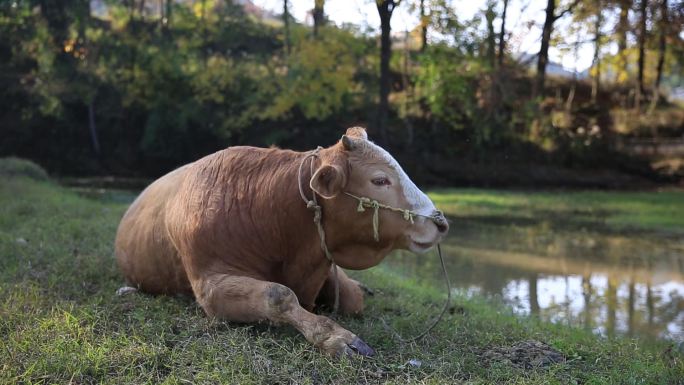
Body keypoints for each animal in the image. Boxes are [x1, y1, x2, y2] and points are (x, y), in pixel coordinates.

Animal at [115, 127, 448, 356]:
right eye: (379, 180)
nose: (440, 221)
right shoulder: (208, 286)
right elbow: (278, 294)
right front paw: (336, 338)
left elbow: (350, 297)